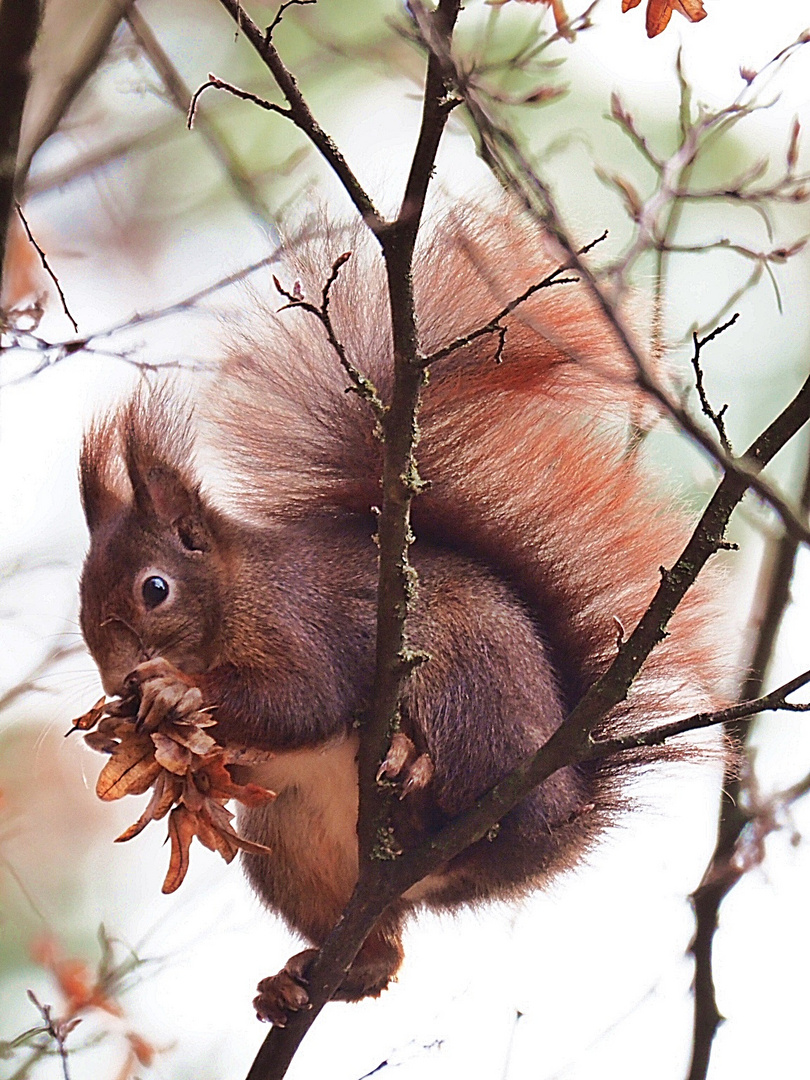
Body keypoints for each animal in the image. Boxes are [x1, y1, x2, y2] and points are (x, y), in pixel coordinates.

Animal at [79, 204, 734, 1028]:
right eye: (82, 604)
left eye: (155, 590)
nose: (116, 678)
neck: (236, 593)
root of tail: (571, 795)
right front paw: (128, 728)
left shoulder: (300, 624)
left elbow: (301, 701)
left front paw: (176, 693)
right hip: (293, 846)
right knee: (386, 948)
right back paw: (314, 976)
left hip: (466, 696)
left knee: (473, 800)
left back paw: (414, 775)